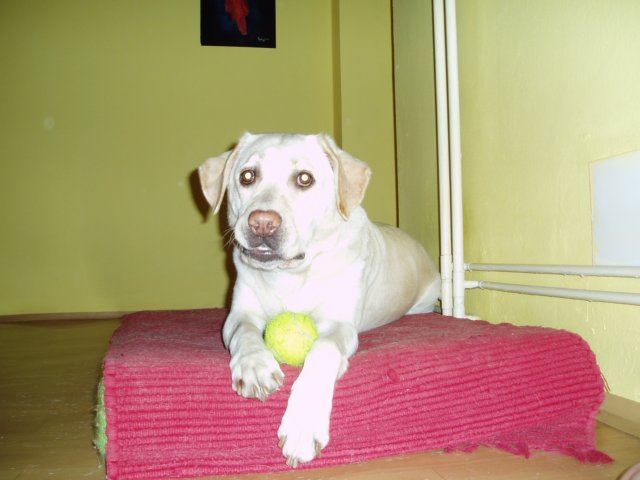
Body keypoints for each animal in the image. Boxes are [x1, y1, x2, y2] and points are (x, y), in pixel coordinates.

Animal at [198, 133, 440, 467]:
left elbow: (323, 349)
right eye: (247, 176)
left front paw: (303, 426)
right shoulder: (238, 314)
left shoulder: (340, 325)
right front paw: (255, 366)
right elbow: (245, 333)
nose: (262, 223)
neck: (289, 274)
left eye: (304, 178)